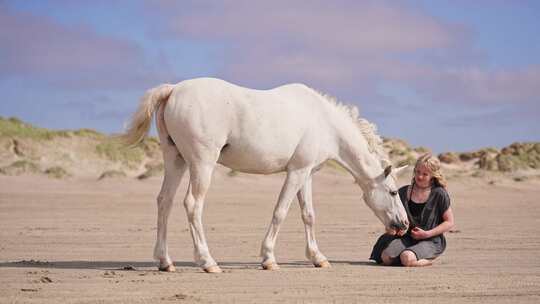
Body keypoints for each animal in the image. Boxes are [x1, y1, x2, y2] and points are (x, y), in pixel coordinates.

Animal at [121, 78, 410, 274]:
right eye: (394, 191)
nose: (404, 224)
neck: (325, 122)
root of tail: (174, 89)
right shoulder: (296, 173)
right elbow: (280, 212)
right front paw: (269, 258)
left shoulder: (306, 175)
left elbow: (308, 215)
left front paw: (318, 258)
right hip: (201, 165)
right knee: (192, 205)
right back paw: (208, 262)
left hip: (176, 161)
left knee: (164, 202)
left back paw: (165, 261)